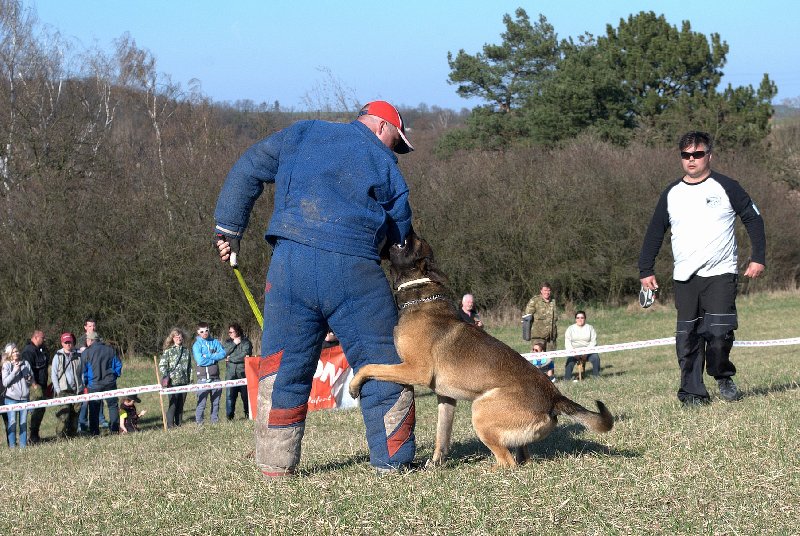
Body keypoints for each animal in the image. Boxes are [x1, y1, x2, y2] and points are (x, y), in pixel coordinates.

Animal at [346, 232, 616, 466]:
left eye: (415, 243)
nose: (408, 229)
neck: (421, 297)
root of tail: (554, 396)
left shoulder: (414, 370)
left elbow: (369, 366)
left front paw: (354, 386)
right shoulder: (446, 398)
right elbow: (442, 436)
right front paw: (435, 465)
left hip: (480, 409)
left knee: (507, 463)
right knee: (522, 459)